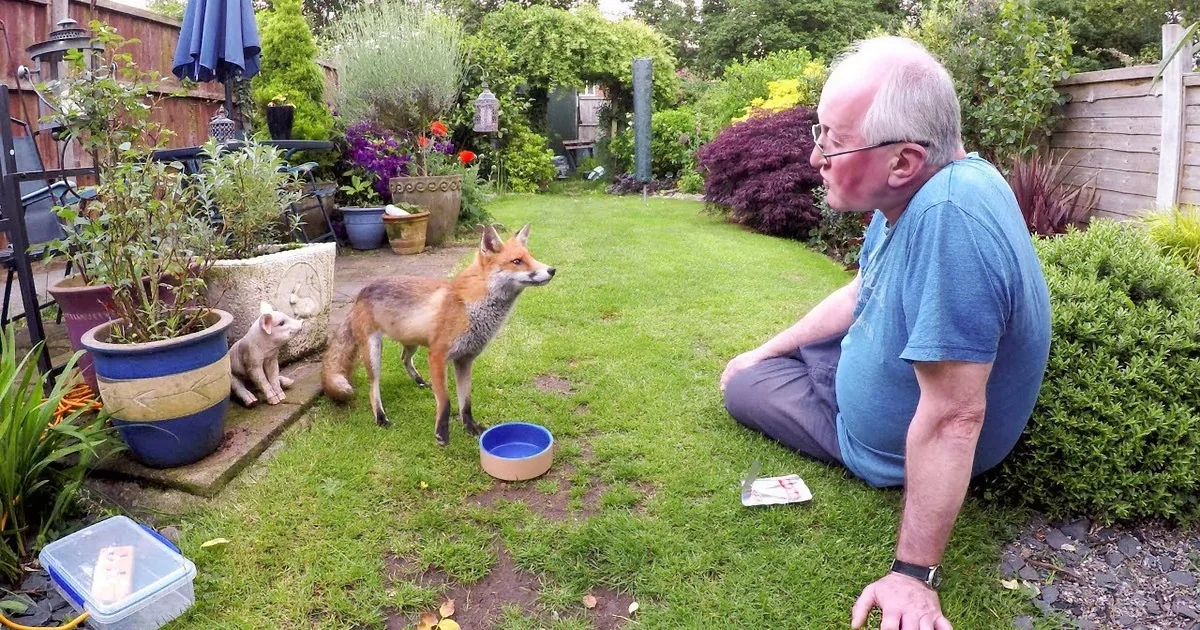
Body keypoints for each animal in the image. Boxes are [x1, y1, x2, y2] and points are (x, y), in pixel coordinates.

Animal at [321, 224, 556, 445]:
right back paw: (380, 417)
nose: (552, 270)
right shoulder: (437, 356)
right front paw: (442, 434)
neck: (471, 307)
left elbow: (466, 402)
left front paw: (470, 427)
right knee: (373, 387)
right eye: (517, 261)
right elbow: (446, 401)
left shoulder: (464, 360)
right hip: (373, 353)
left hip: (412, 341)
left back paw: (418, 381)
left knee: (404, 358)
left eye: (531, 257)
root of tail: (360, 293)